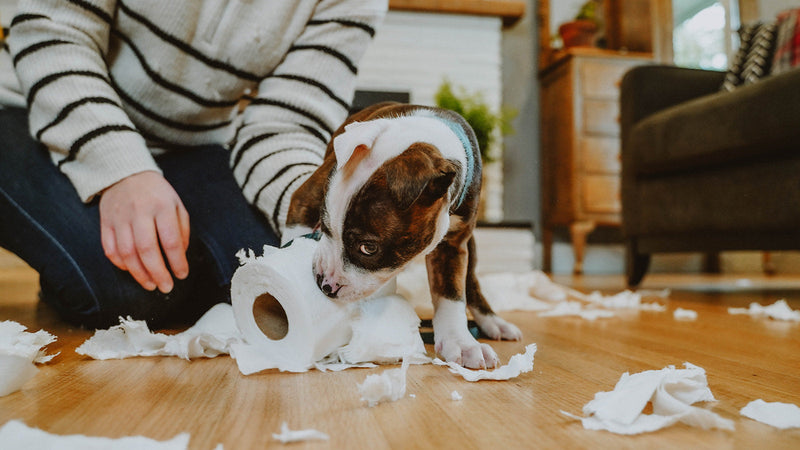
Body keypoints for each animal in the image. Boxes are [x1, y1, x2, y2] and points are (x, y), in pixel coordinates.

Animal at [284, 103, 520, 370]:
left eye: (368, 248)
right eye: (323, 226)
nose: (325, 284)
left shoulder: (452, 245)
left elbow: (451, 292)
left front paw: (461, 343)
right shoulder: (304, 201)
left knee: (470, 282)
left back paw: (493, 322)